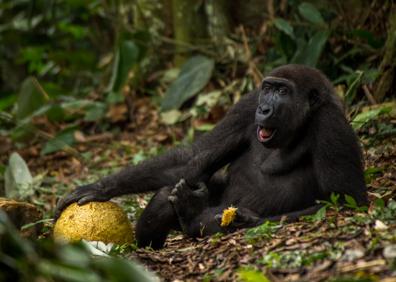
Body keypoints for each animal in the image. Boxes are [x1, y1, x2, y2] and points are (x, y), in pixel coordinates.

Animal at [55, 64, 368, 249]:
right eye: (268, 88)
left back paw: (193, 215)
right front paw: (100, 187)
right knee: (171, 190)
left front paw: (246, 220)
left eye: (283, 91)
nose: (265, 109)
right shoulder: (247, 104)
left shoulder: (330, 124)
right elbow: (194, 158)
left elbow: (345, 201)